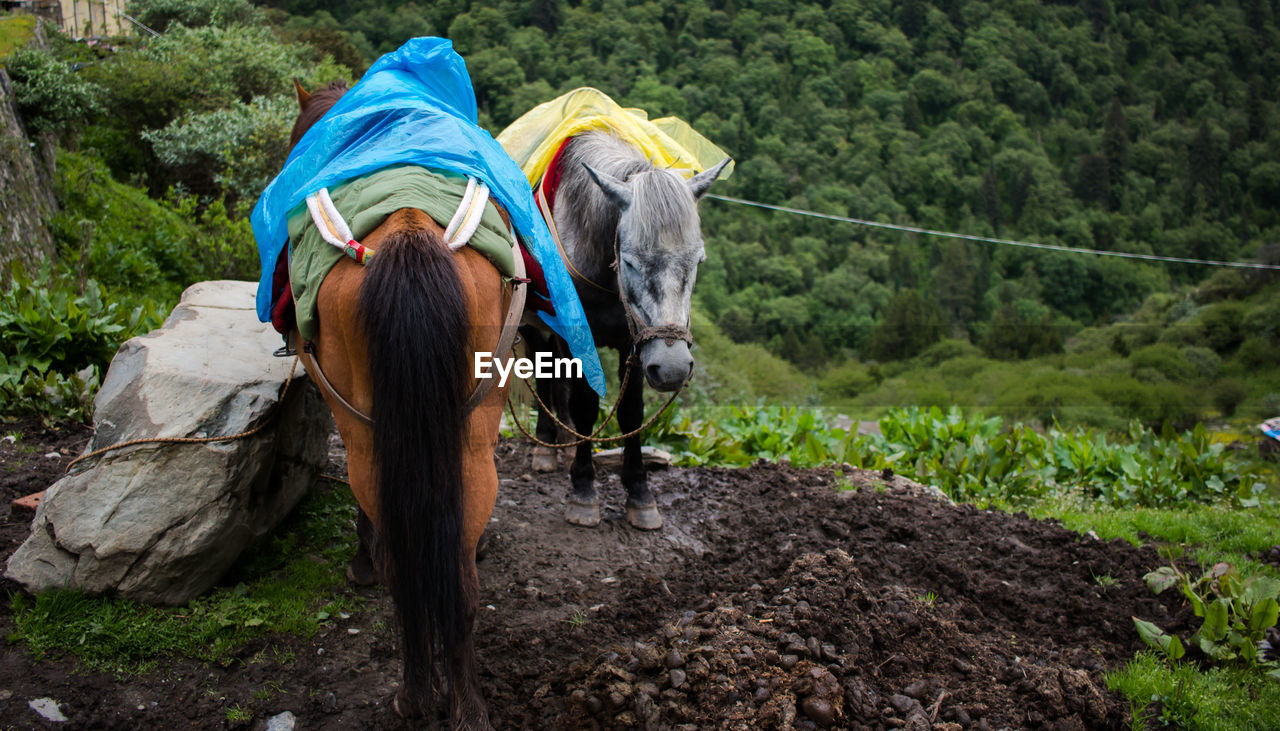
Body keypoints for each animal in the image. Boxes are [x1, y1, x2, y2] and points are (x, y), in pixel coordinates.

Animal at [290, 83, 509, 727]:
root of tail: (409, 232)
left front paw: (360, 562)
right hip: (472, 420)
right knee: (457, 580)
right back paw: (466, 707)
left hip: (367, 432)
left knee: (402, 565)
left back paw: (412, 697)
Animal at [522, 131, 732, 530]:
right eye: (631, 262)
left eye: (697, 260)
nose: (673, 368)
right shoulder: (580, 339)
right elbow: (587, 405)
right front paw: (583, 491)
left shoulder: (636, 343)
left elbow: (631, 411)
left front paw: (640, 494)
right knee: (543, 370)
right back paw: (544, 446)